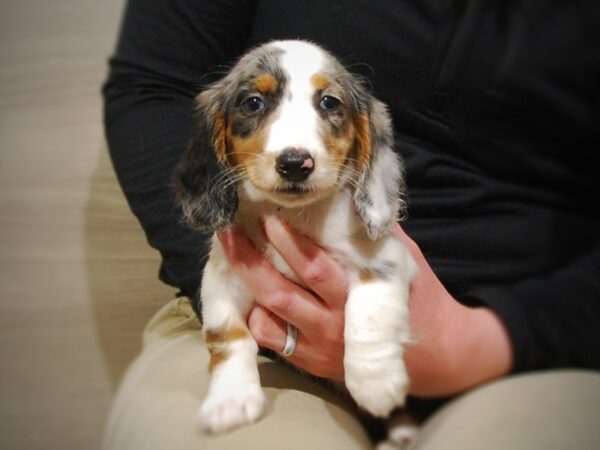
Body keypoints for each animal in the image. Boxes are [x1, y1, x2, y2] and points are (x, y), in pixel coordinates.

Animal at [173, 40, 418, 434]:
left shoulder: (387, 259)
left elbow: (367, 314)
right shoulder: (222, 278)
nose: (294, 163)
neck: (290, 214)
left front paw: (376, 382)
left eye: (330, 102)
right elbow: (227, 335)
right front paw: (231, 398)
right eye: (253, 102)